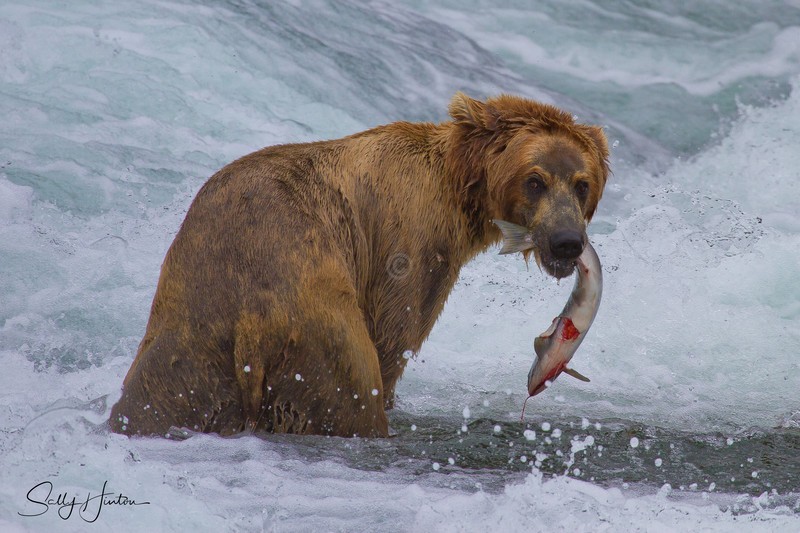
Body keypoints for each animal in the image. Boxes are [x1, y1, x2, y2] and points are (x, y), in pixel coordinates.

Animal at [109, 92, 610, 438]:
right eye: (535, 180)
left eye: (582, 183)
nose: (568, 242)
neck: (458, 190)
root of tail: (253, 324)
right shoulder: (409, 246)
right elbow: (396, 336)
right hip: (320, 336)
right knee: (351, 398)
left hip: (189, 350)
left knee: (151, 401)